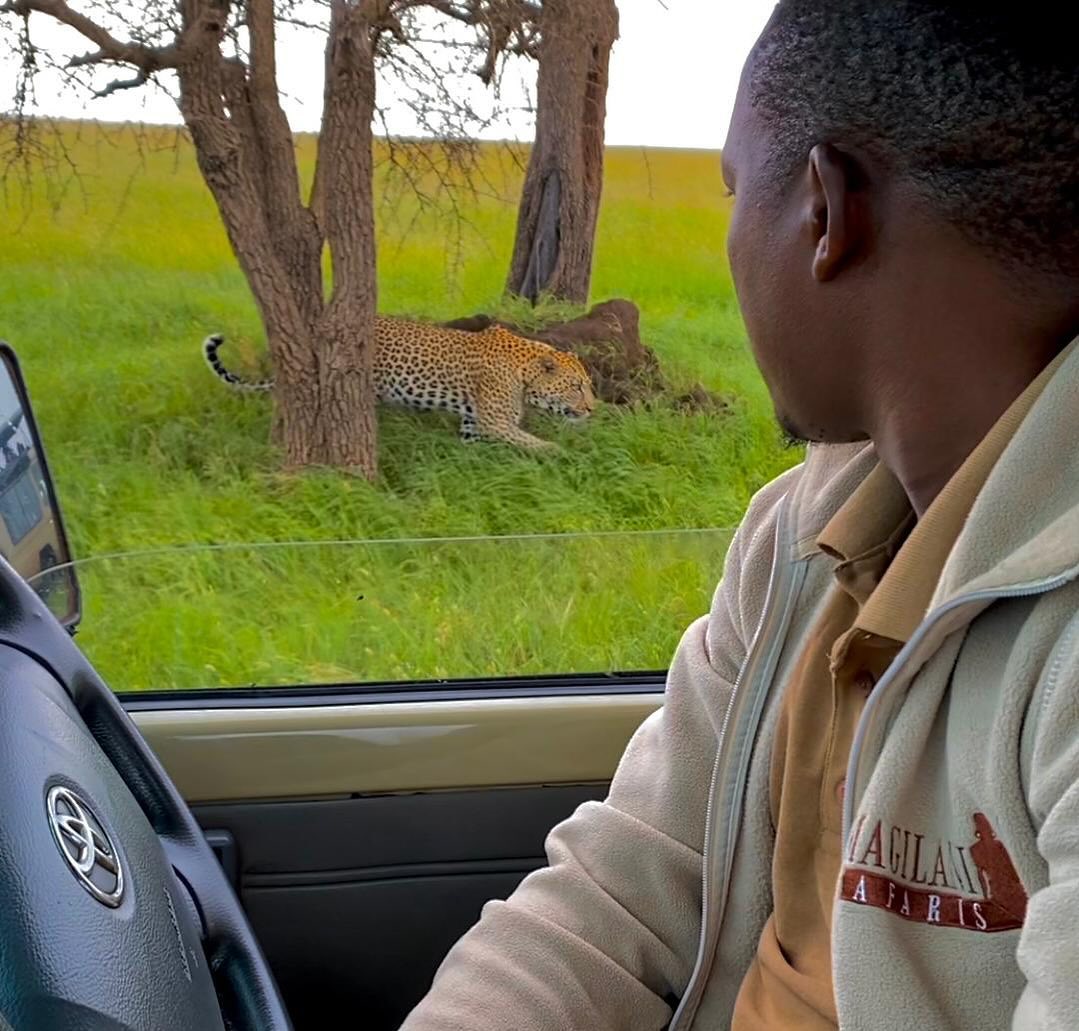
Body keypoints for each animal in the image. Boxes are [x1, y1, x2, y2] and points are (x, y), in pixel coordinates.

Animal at [202, 316, 596, 451]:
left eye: (587, 385)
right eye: (576, 387)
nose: (593, 408)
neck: (524, 368)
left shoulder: (474, 422)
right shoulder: (495, 420)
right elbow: (534, 443)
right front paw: (560, 454)